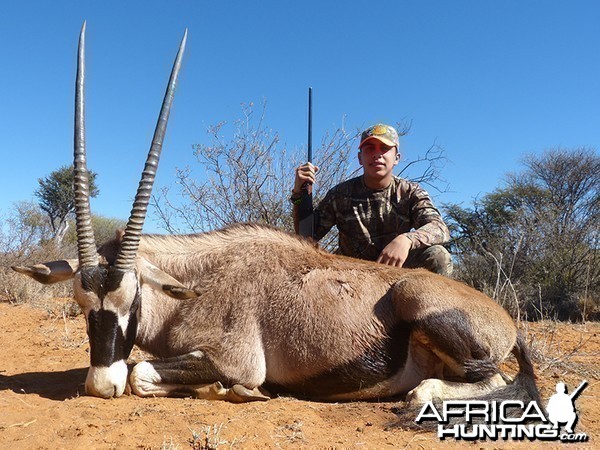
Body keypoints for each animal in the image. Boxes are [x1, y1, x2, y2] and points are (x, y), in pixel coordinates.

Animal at [14, 25, 540, 408]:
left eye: (133, 299)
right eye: (81, 304)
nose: (100, 385)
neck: (199, 282)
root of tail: (506, 322)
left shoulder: (236, 358)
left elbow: (142, 372)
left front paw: (232, 390)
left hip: (422, 305)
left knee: (492, 383)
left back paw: (422, 394)